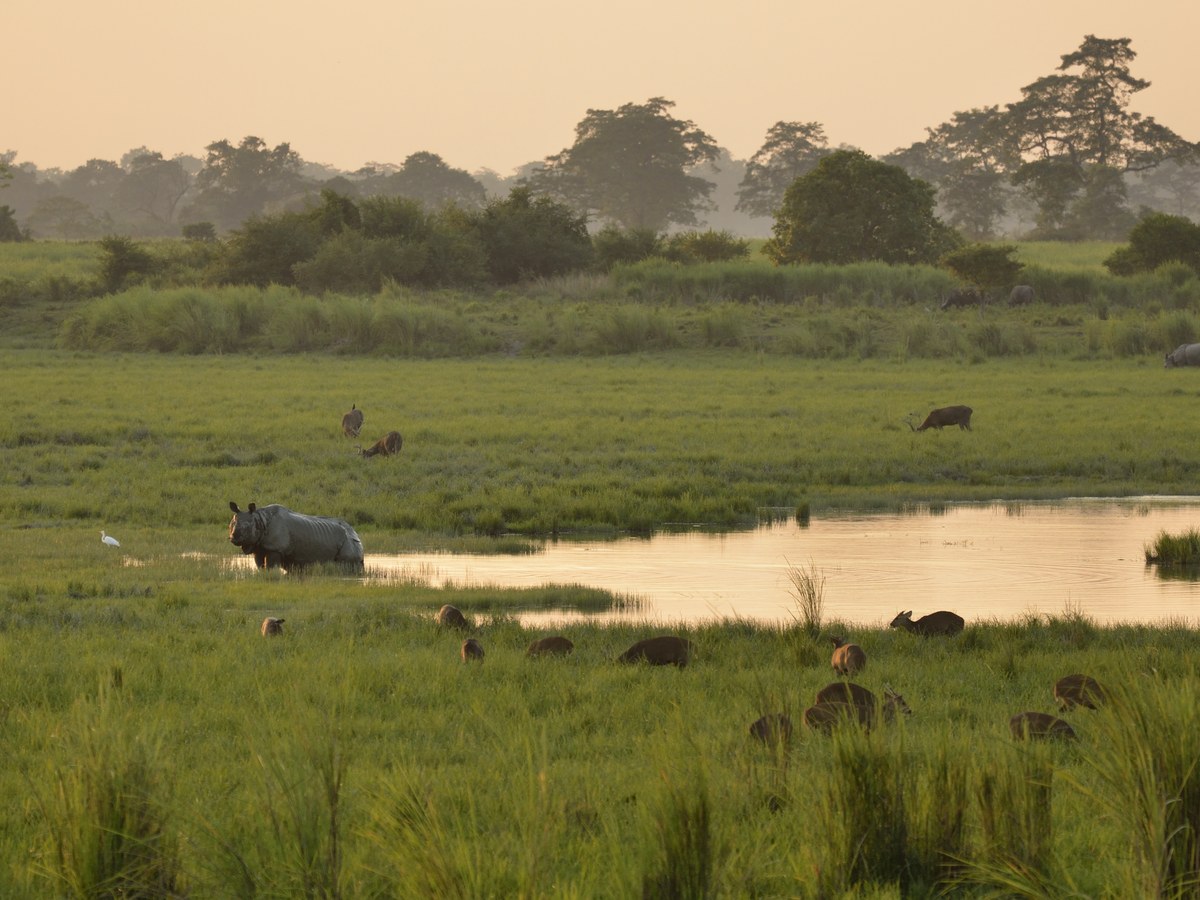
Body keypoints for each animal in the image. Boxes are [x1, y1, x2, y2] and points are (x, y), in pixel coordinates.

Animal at [228, 501, 364, 572]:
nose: (233, 537)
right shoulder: (258, 547)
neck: (259, 519)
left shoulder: (275, 548)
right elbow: (260, 565)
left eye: (247, 527)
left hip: (349, 542)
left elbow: (271, 566)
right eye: (231, 524)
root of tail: (355, 533)